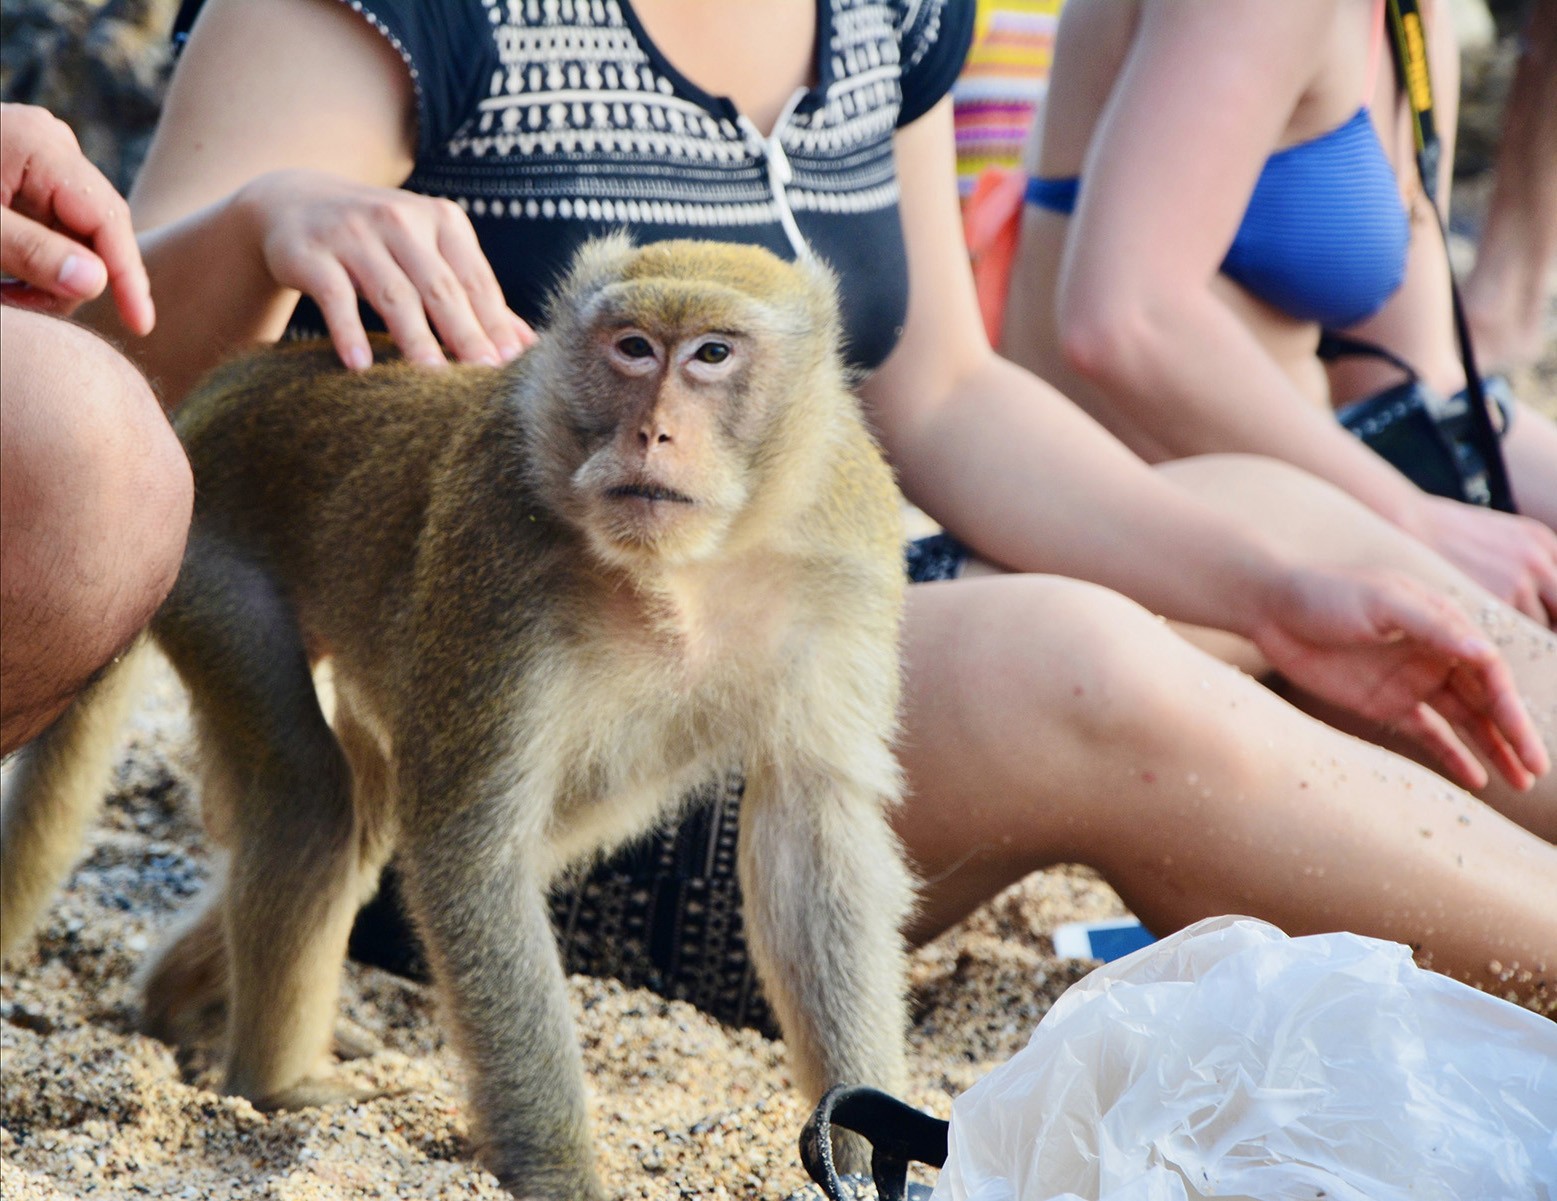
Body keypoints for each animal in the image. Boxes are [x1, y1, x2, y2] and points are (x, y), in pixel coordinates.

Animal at [0, 236, 915, 1201]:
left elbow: (813, 841)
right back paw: (272, 1081)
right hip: (211, 568)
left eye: (711, 354)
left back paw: (178, 1002)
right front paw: (561, 1175)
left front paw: (859, 1140)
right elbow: (469, 852)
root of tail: (232, 386)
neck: (690, 567)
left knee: (373, 820)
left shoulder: (846, 558)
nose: (652, 432)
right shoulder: (498, 547)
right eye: (633, 348)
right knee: (316, 803)